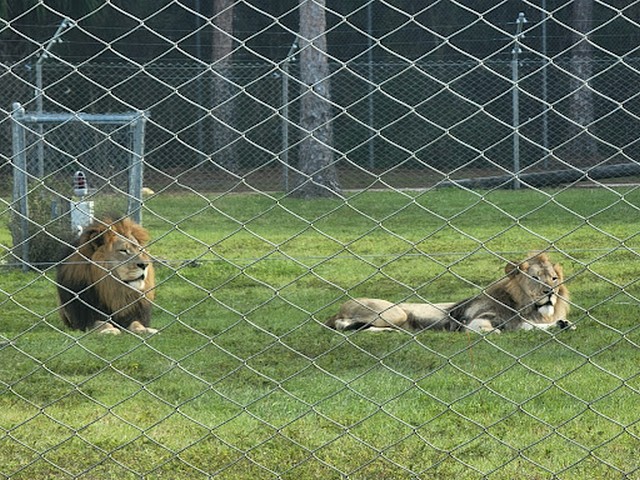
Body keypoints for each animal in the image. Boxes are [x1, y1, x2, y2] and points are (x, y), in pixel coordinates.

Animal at [328, 251, 572, 334]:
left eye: (554, 278)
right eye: (535, 278)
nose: (550, 291)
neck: (523, 306)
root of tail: (338, 309)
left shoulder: (519, 322)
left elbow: (533, 327)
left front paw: (561, 324)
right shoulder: (474, 321)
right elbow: (487, 329)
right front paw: (492, 332)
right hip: (396, 312)